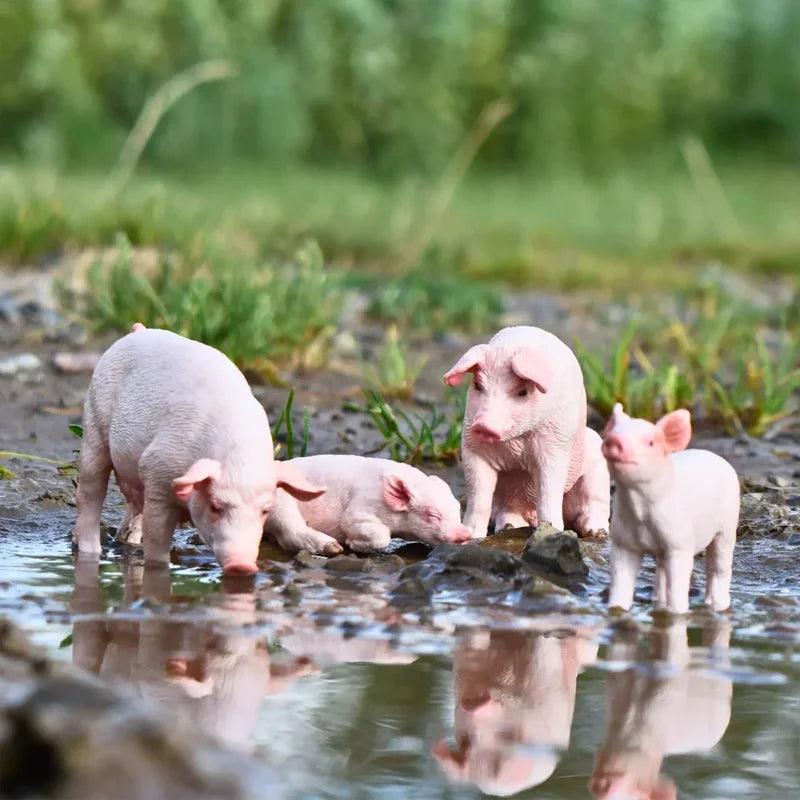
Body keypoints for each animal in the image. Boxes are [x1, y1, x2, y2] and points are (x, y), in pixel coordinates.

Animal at [71, 327, 324, 575]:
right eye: (216, 506)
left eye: (265, 511)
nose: (242, 565)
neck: (237, 458)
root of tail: (139, 330)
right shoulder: (157, 468)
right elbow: (157, 537)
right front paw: (159, 569)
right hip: (94, 420)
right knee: (90, 491)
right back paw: (91, 550)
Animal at [264, 455, 471, 554]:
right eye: (432, 515)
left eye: (458, 509)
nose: (465, 534)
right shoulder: (360, 507)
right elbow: (377, 534)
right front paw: (350, 543)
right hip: (280, 502)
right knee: (290, 531)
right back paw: (333, 548)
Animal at [443, 326, 610, 539]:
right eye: (478, 386)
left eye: (522, 392)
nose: (483, 426)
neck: (516, 445)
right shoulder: (472, 448)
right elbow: (478, 498)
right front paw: (472, 537)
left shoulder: (555, 446)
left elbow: (548, 492)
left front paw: (551, 532)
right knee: (510, 508)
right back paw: (508, 527)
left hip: (597, 458)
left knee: (595, 502)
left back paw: (596, 533)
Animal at [602, 403, 739, 613]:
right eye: (611, 433)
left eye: (650, 442)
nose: (613, 440)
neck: (640, 511)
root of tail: (719, 458)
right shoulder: (622, 541)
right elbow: (620, 583)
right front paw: (616, 610)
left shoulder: (680, 543)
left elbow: (678, 584)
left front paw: (677, 613)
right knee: (661, 570)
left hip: (728, 525)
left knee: (718, 566)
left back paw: (716, 605)